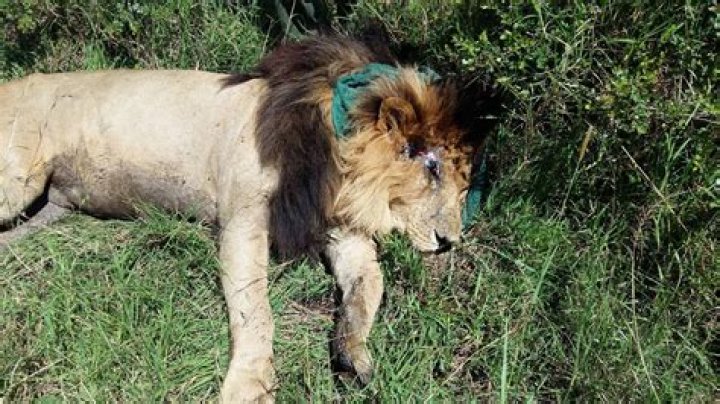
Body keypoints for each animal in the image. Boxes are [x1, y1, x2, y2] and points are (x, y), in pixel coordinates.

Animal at [0, 36, 492, 402]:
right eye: (432, 168)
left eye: (464, 186)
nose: (450, 240)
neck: (337, 167)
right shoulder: (243, 223)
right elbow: (256, 311)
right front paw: (250, 387)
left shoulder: (343, 231)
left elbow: (367, 289)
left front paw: (354, 356)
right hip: (18, 181)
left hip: (46, 207)